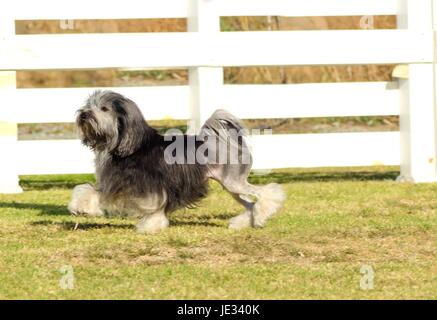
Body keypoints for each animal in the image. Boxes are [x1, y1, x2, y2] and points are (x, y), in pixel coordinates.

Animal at [67, 90, 284, 232]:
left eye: (104, 108)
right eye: (88, 105)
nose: (84, 113)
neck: (129, 145)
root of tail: (226, 140)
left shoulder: (147, 186)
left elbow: (154, 206)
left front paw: (151, 225)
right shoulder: (116, 184)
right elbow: (89, 190)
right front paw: (80, 206)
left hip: (234, 182)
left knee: (267, 193)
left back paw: (264, 213)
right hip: (230, 186)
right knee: (250, 204)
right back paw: (245, 222)